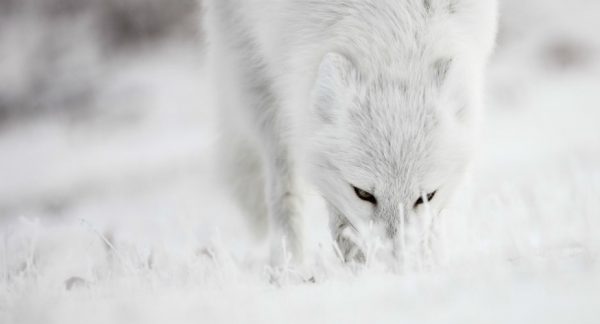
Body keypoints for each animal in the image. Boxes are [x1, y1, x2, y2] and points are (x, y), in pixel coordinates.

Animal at [204, 0, 500, 264]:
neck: (392, 18)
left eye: (426, 197)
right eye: (363, 194)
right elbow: (294, 192)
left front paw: (431, 259)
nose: (394, 265)